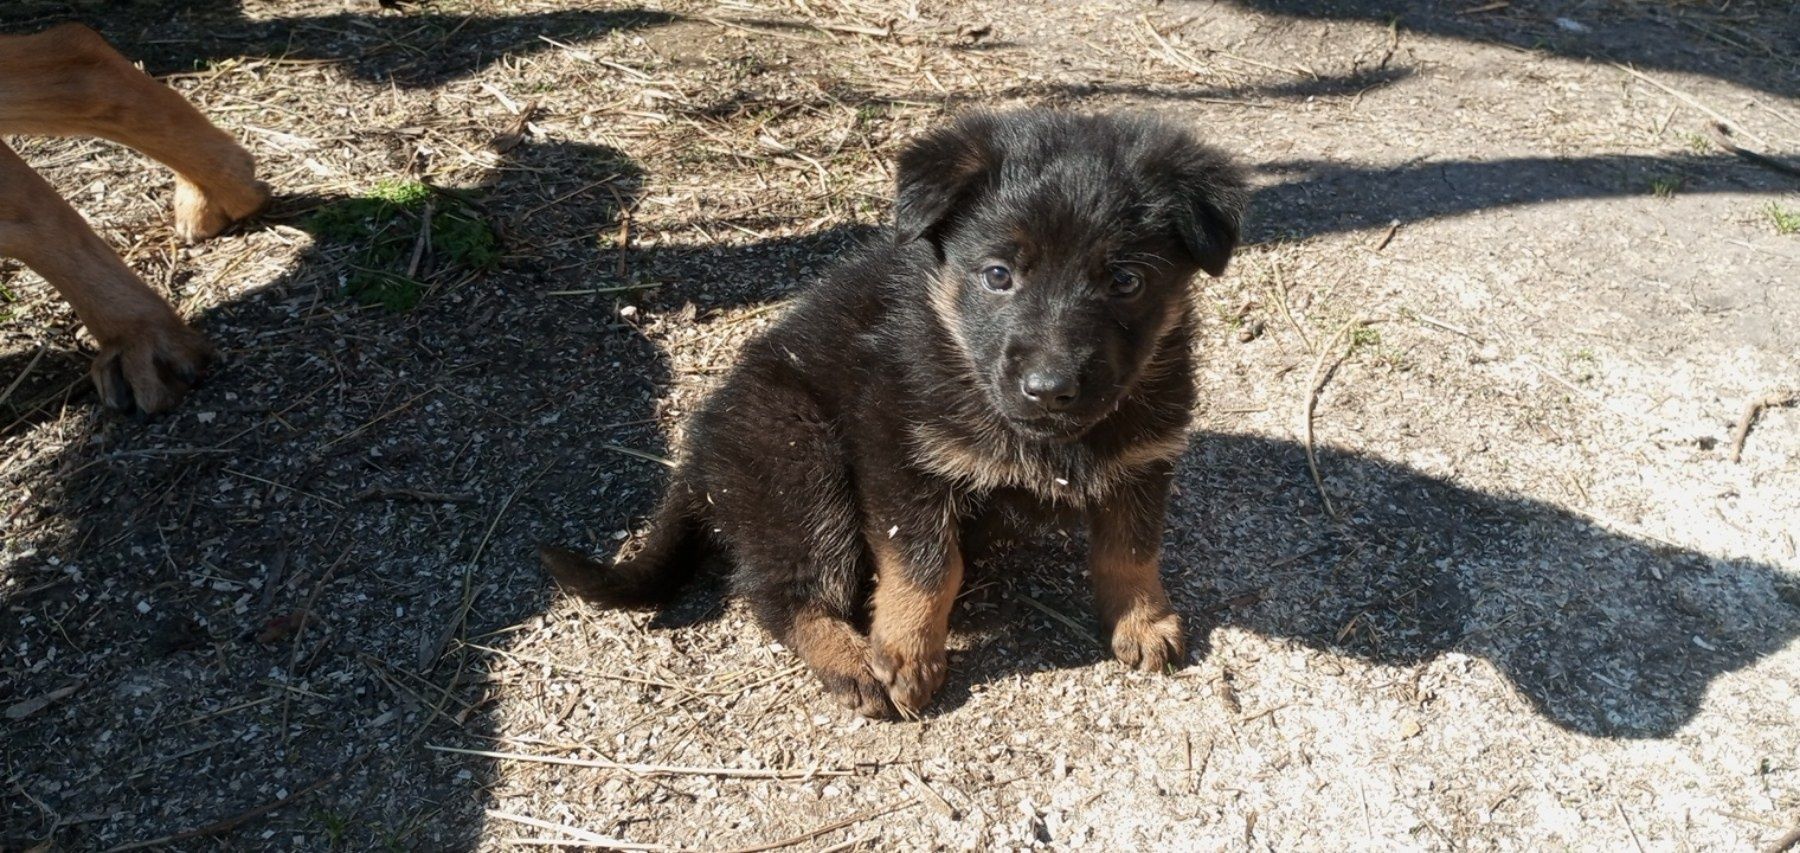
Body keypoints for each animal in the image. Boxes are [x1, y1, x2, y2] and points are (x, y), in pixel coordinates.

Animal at [547, 108, 1245, 719]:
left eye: (1126, 282)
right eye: (998, 275)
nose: (1049, 389)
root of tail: (697, 464)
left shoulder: (1143, 458)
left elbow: (1131, 549)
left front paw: (1143, 619)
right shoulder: (902, 453)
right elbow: (926, 565)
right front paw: (907, 652)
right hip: (800, 461)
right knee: (780, 593)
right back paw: (850, 662)